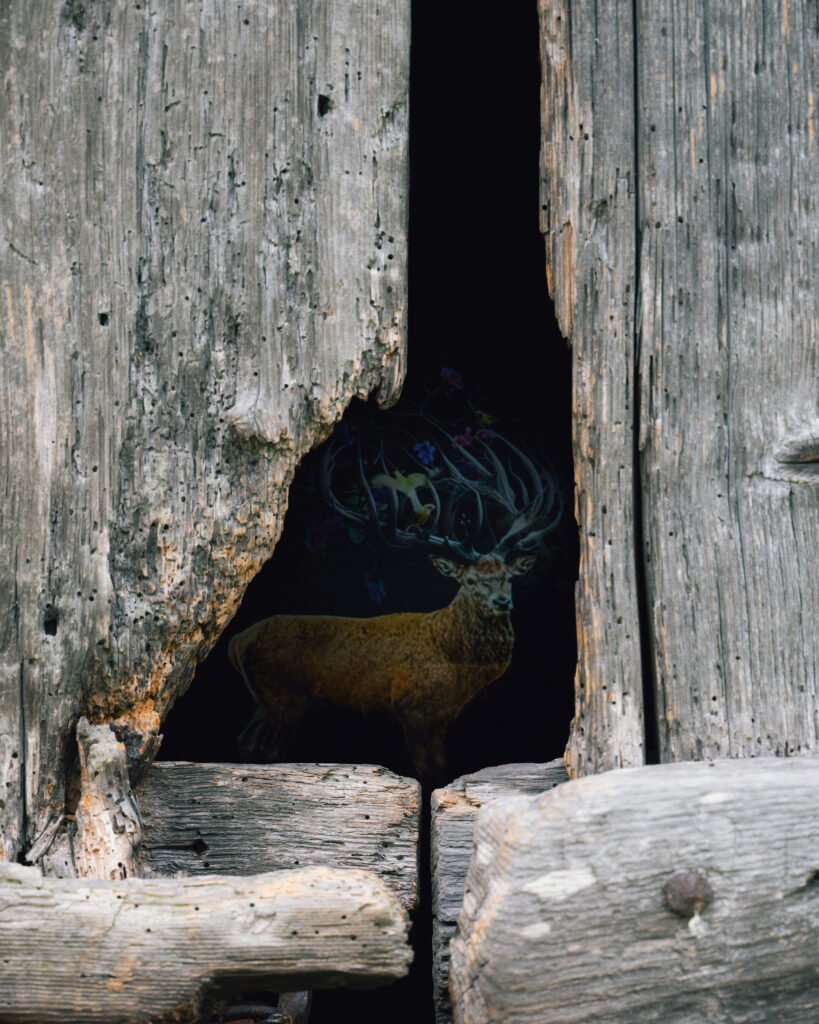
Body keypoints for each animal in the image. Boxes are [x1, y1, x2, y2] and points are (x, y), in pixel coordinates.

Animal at [228, 409, 563, 784]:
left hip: (264, 700)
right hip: (285, 696)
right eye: (472, 580)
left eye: (508, 577)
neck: (453, 658)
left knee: (245, 742)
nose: (502, 602)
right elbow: (429, 770)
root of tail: (237, 642)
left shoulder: (441, 716)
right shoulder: (412, 706)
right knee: (267, 748)